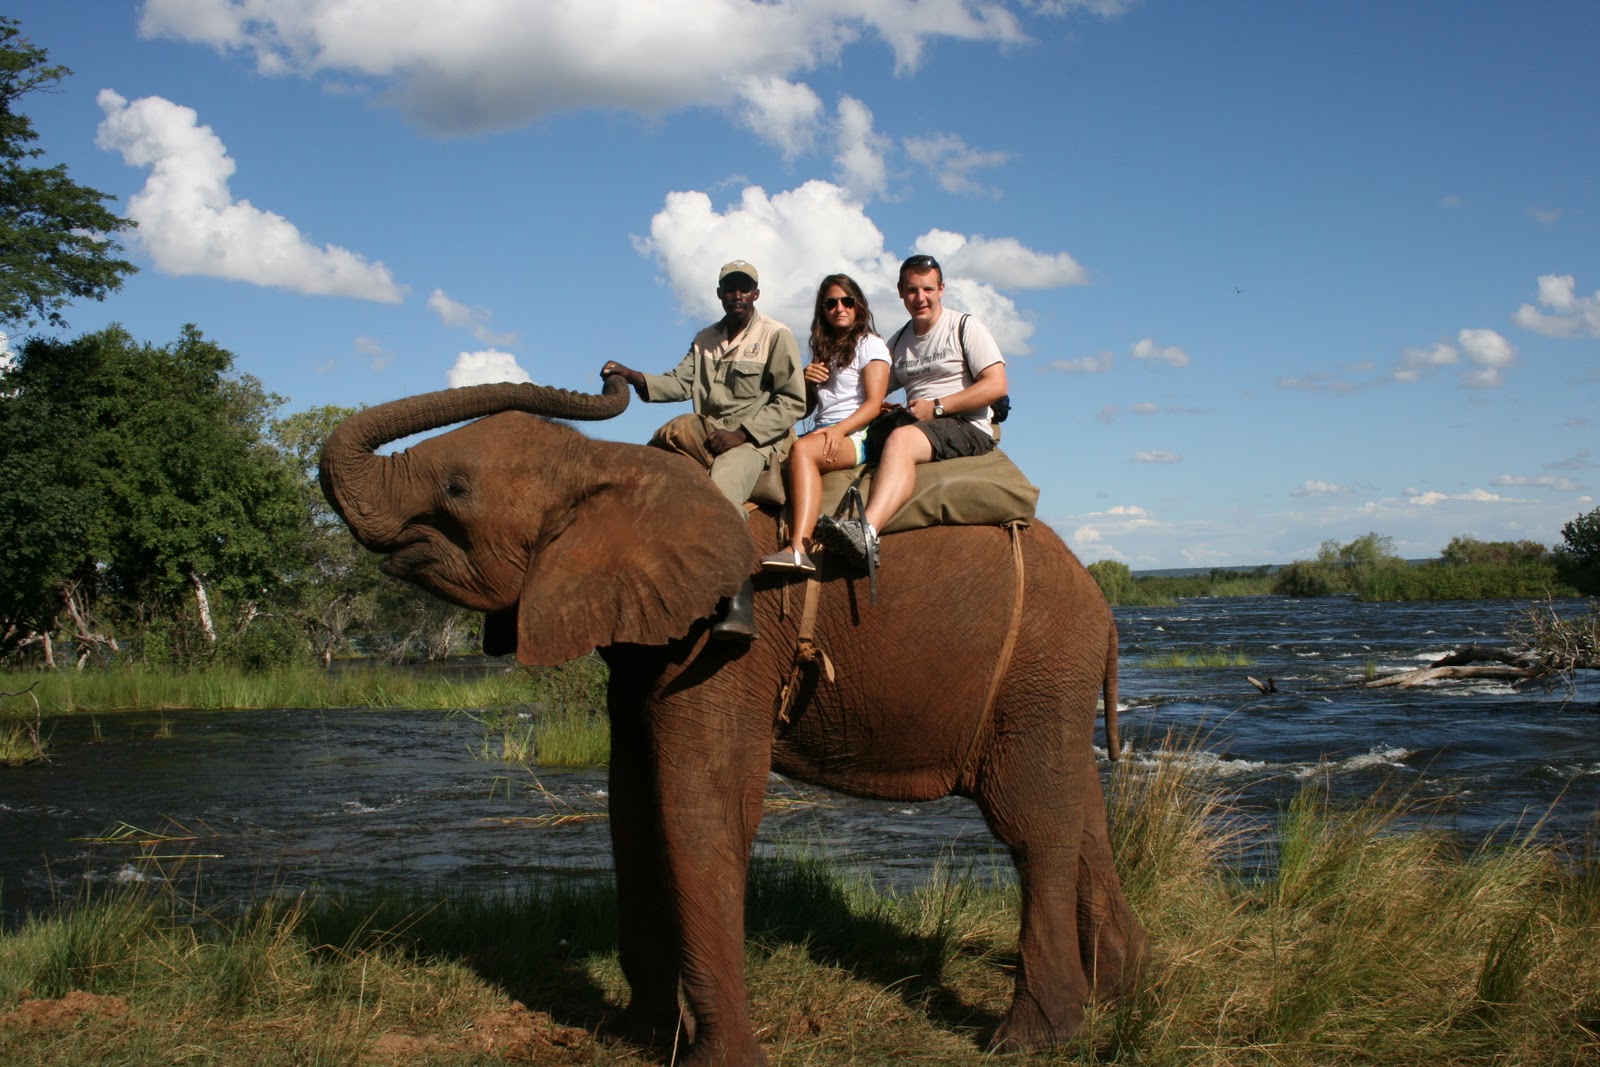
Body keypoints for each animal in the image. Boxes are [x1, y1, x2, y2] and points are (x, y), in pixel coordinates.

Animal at [319, 376, 1148, 1067]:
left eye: (456, 488)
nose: (610, 376)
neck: (611, 467)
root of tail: (1102, 607)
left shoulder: (724, 636)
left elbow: (702, 801)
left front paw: (716, 1058)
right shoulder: (646, 632)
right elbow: (631, 804)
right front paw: (639, 1034)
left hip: (1037, 663)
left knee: (1032, 822)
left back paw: (1032, 1036)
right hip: (1048, 682)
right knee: (1080, 803)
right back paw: (1119, 989)